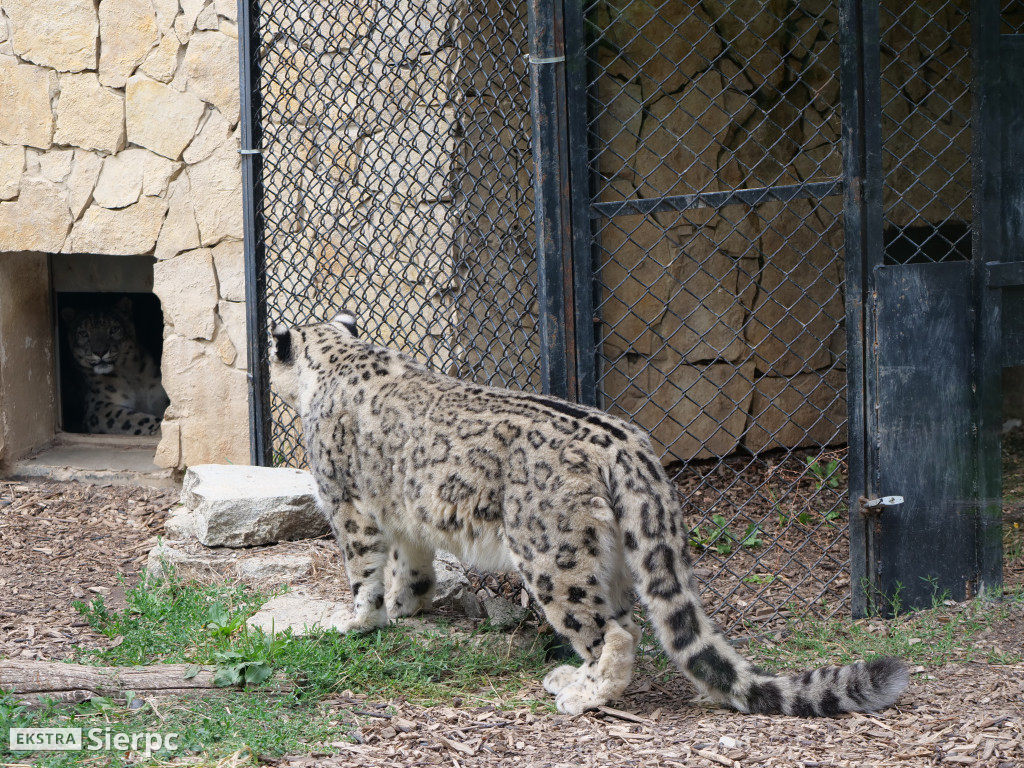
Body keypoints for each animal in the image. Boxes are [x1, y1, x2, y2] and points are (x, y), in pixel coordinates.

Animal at [61, 296, 168, 436]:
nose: (100, 351)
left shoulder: (158, 397)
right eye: (83, 333)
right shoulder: (99, 407)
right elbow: (135, 419)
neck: (133, 376)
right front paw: (160, 428)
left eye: (114, 329)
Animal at [268, 309, 909, 720]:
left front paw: (358, 620)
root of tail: (629, 445)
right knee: (620, 620)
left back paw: (581, 693)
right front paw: (406, 604)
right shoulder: (403, 513)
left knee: (615, 632)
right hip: (614, 554)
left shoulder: (347, 503)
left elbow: (362, 569)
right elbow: (411, 563)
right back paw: (574, 677)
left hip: (552, 557)